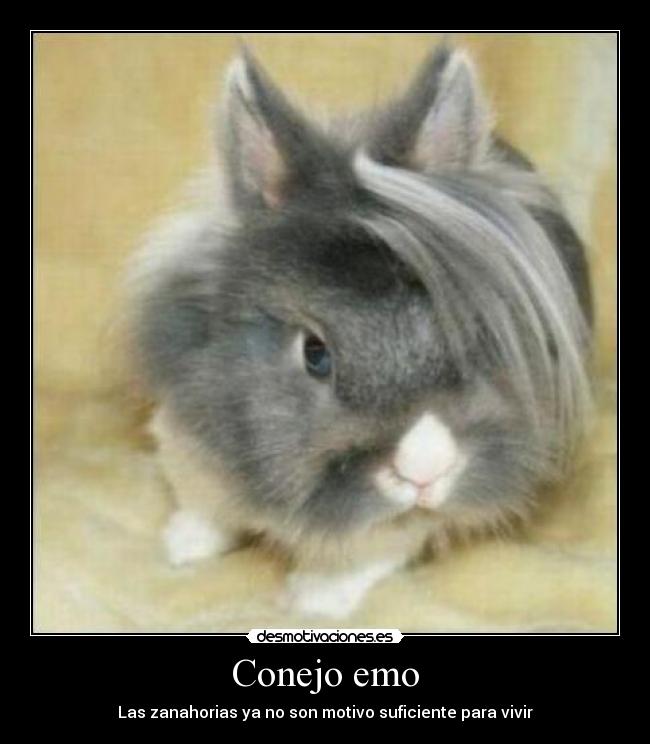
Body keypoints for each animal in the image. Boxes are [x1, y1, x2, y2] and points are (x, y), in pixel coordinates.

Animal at [126, 42, 593, 619]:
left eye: (475, 330)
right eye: (315, 353)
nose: (425, 471)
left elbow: (369, 552)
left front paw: (314, 600)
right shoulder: (187, 447)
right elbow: (205, 508)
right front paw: (182, 548)